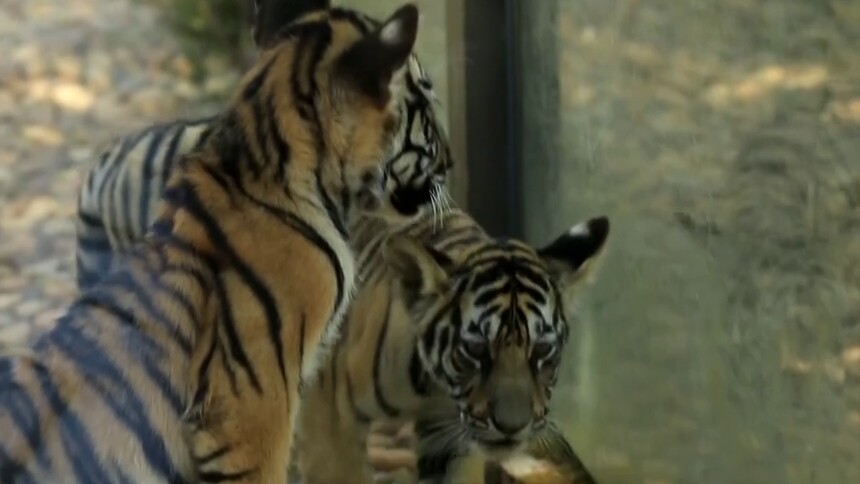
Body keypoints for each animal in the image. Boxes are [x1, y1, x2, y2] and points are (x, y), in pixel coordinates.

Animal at [293, 208, 608, 484]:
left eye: (542, 349)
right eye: (477, 349)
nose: (512, 428)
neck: (434, 388)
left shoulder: (443, 442)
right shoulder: (332, 425)